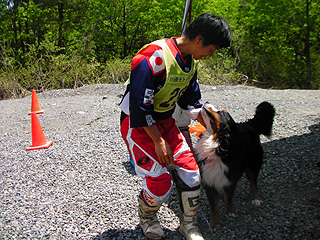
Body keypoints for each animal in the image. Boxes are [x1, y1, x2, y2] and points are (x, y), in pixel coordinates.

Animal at [195, 101, 276, 231]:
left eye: (222, 112)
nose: (206, 102)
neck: (219, 147)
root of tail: (248, 123)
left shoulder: (231, 178)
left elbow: (229, 196)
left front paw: (231, 210)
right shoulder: (209, 180)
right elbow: (214, 207)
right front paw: (215, 223)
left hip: (253, 163)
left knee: (253, 182)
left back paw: (256, 199)